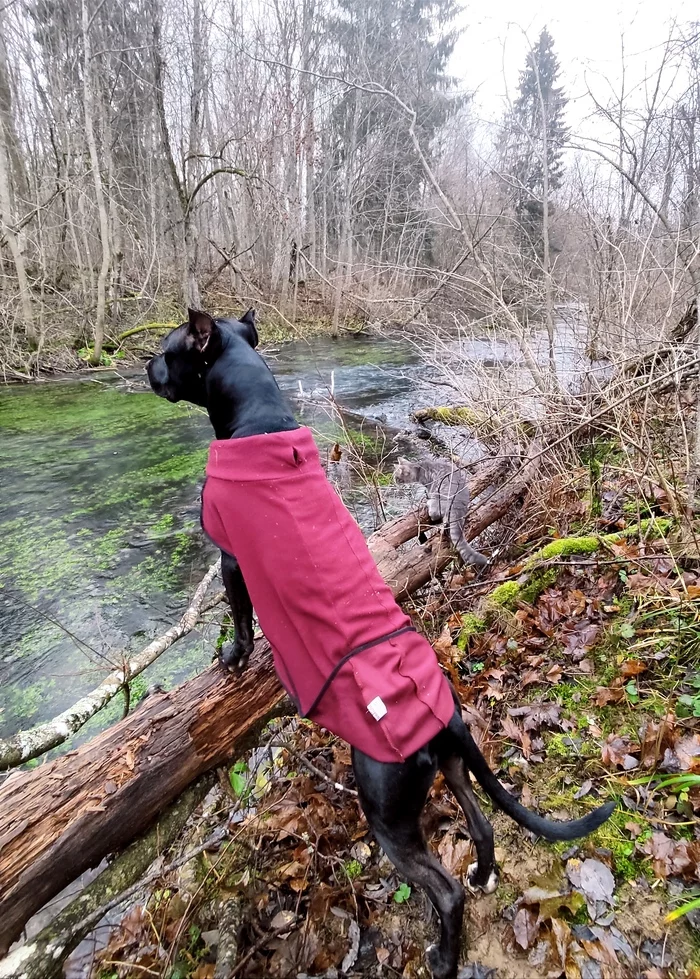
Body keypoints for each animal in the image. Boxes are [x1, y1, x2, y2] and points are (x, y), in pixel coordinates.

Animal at [148, 308, 612, 979]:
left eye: (166, 351)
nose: (144, 367)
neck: (260, 416)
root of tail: (445, 714)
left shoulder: (231, 557)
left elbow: (239, 617)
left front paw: (232, 658)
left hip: (388, 810)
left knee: (443, 889)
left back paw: (443, 955)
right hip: (452, 768)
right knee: (483, 829)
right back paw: (482, 876)